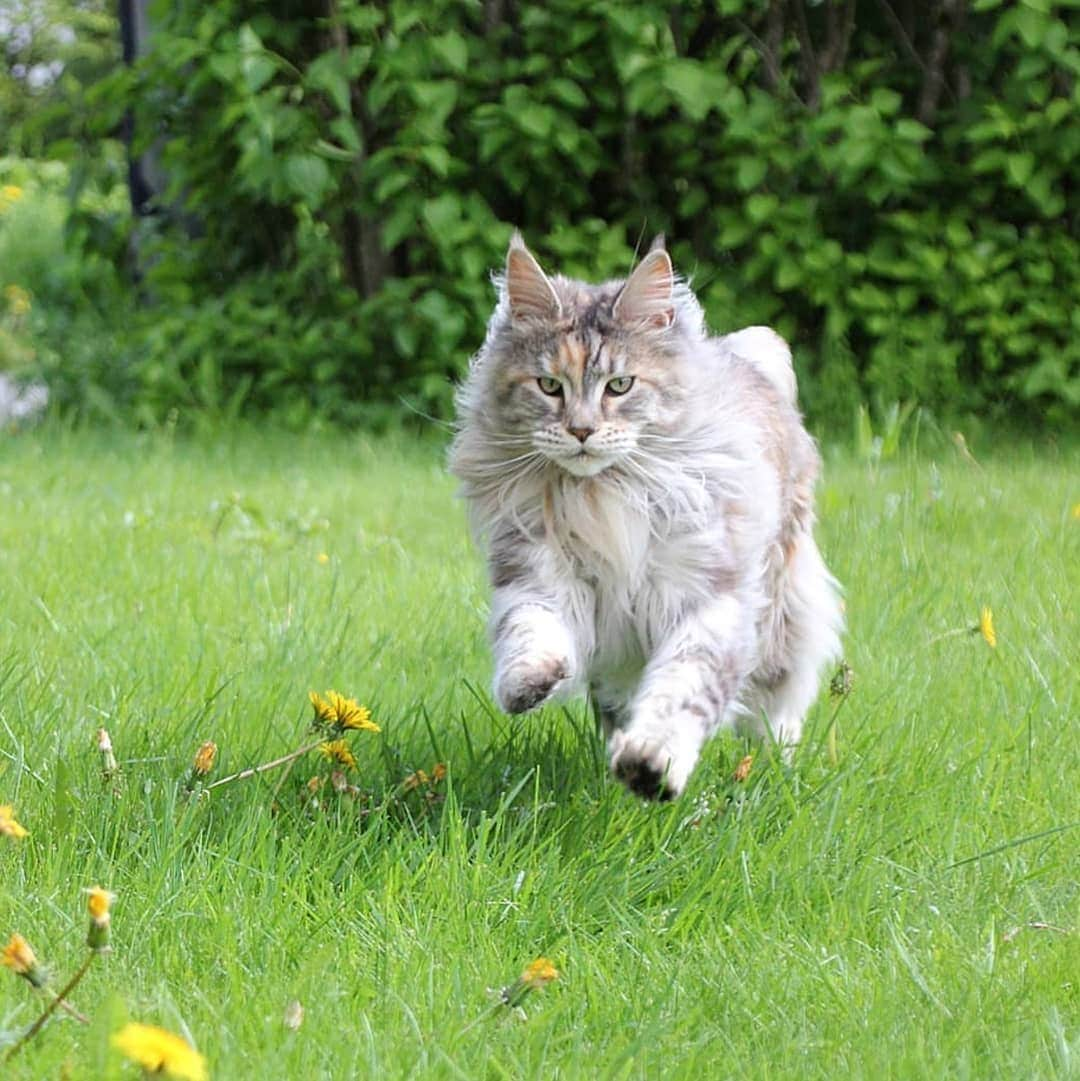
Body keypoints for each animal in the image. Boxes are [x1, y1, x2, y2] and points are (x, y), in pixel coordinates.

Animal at [447, 232, 843, 799]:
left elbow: (683, 689)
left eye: (619, 386)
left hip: (782, 617)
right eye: (549, 386)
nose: (582, 431)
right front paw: (531, 681)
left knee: (778, 708)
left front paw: (653, 763)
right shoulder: (537, 573)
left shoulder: (708, 599)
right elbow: (531, 628)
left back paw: (771, 773)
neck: (602, 496)